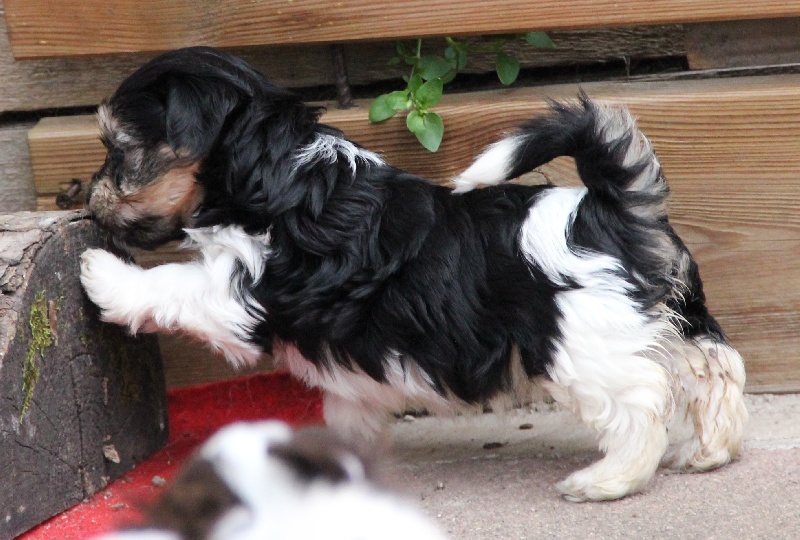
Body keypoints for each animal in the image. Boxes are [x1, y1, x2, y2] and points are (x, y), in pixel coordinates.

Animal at [80, 46, 747, 502]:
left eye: (119, 149)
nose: (88, 198)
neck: (274, 176)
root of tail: (606, 207)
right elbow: (347, 410)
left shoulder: (242, 288)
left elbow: (174, 284)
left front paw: (103, 274)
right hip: (666, 313)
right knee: (711, 367)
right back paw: (709, 450)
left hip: (585, 343)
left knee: (640, 402)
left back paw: (608, 479)